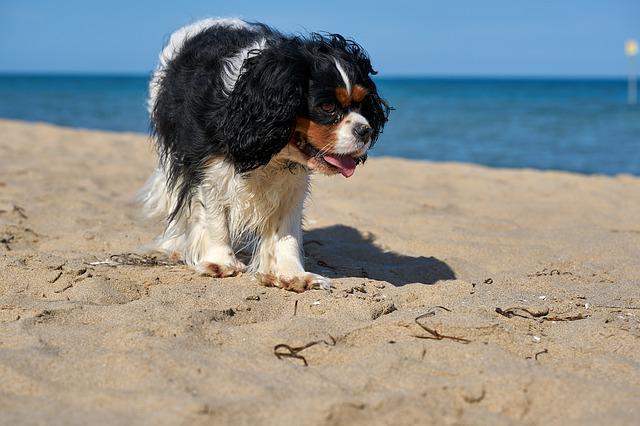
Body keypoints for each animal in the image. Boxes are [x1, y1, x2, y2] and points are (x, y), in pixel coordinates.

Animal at [141, 15, 390, 290]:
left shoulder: (292, 182)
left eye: (362, 104)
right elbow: (215, 217)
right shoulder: (210, 167)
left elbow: (286, 231)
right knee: (175, 197)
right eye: (327, 107)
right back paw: (173, 245)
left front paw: (292, 273)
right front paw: (220, 262)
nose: (365, 130)